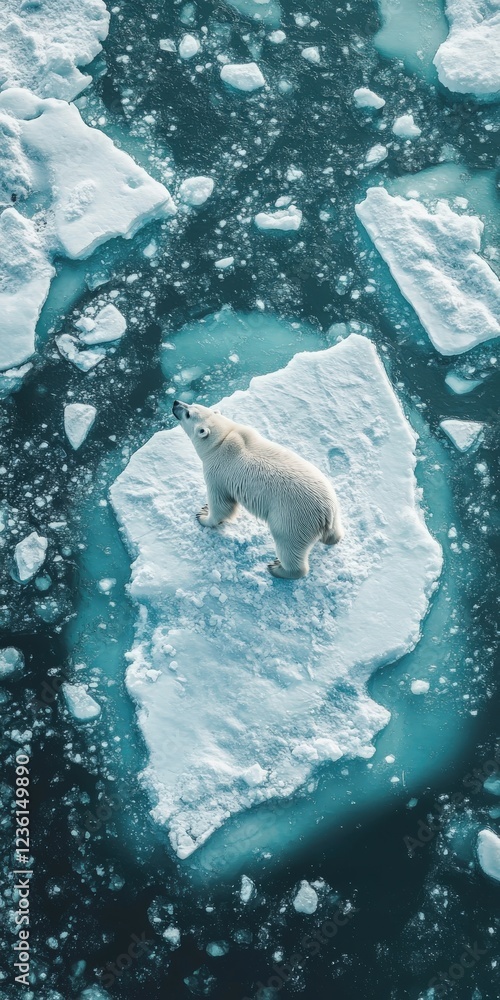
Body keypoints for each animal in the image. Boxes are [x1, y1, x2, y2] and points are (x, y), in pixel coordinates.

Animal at [172, 399, 343, 579]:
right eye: (192, 404)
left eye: (188, 414)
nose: (176, 402)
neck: (223, 438)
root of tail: (325, 513)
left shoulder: (217, 473)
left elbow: (221, 505)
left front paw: (203, 515)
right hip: (331, 505)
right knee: (334, 533)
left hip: (292, 519)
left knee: (287, 543)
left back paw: (277, 568)